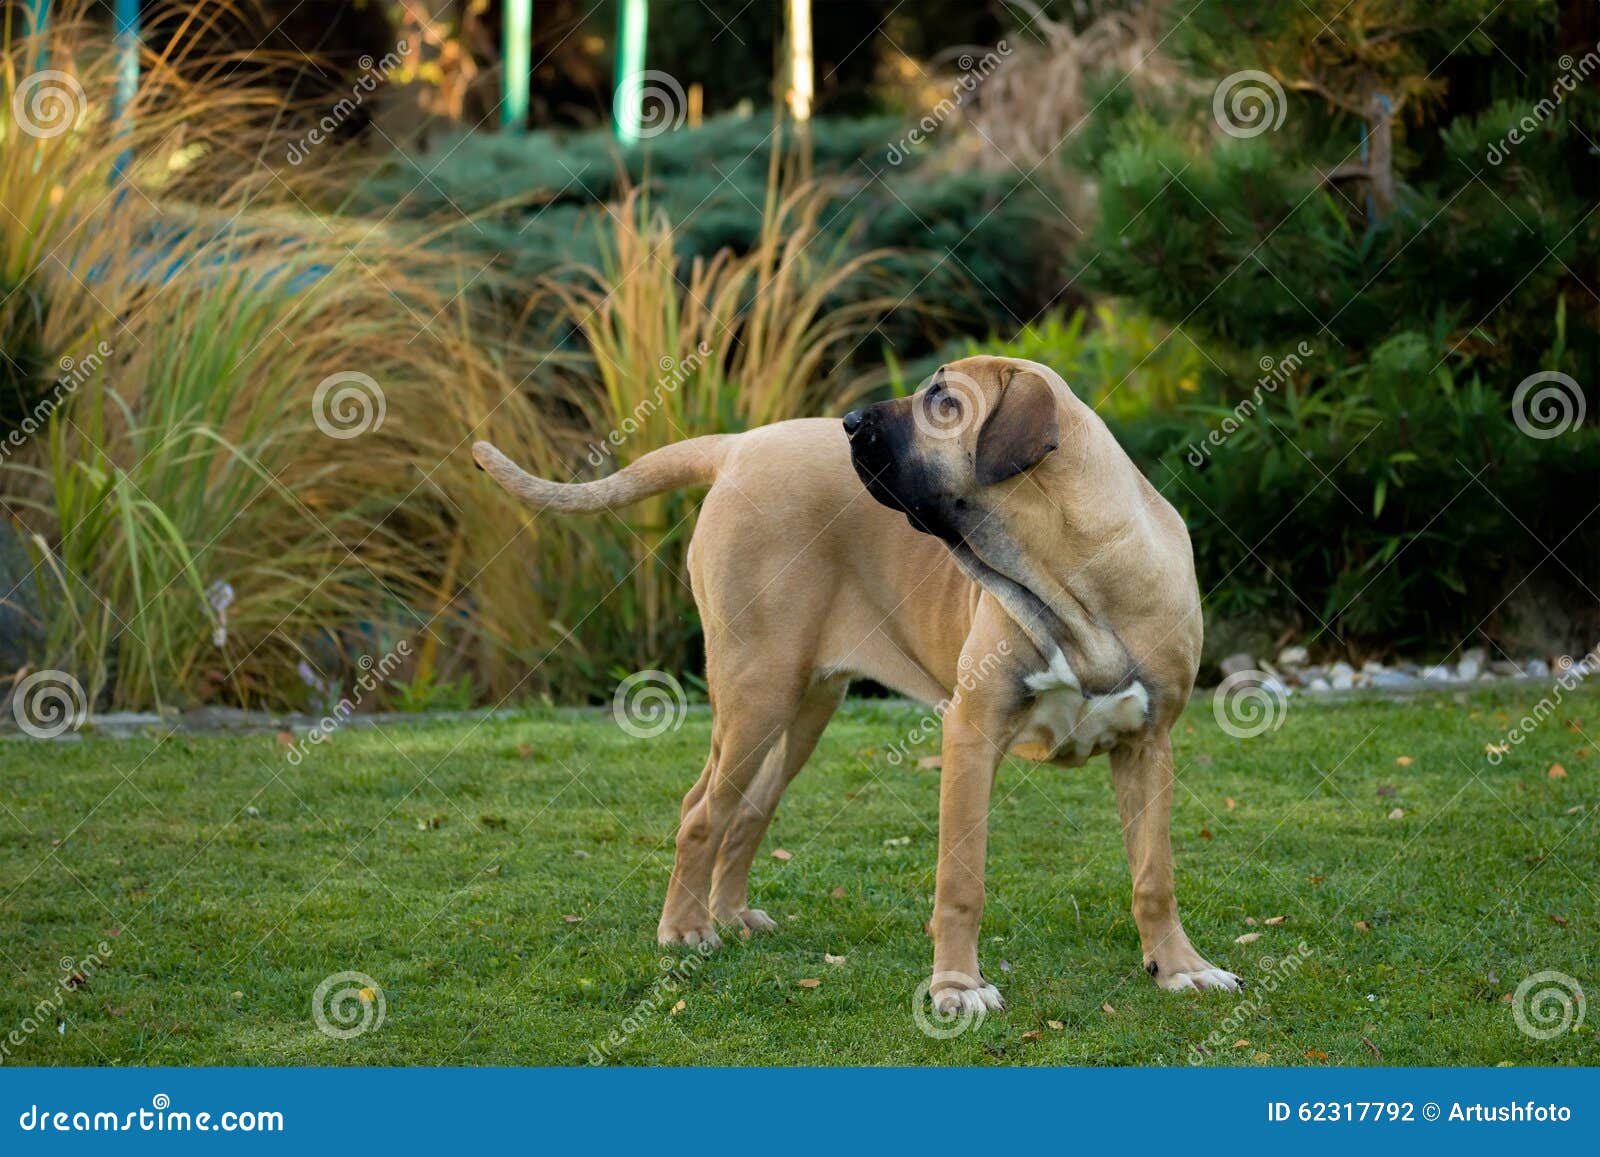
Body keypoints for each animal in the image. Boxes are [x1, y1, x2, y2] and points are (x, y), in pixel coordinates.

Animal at [467, 355, 1241, 1011]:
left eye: (944, 402)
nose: (849, 421)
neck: (1074, 571)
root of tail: (741, 445)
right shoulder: (971, 734)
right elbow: (961, 880)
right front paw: (956, 988)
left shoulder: (1149, 744)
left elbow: (1155, 874)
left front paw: (1180, 967)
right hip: (757, 692)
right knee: (701, 811)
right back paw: (684, 929)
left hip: (803, 707)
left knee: (745, 812)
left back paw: (729, 914)